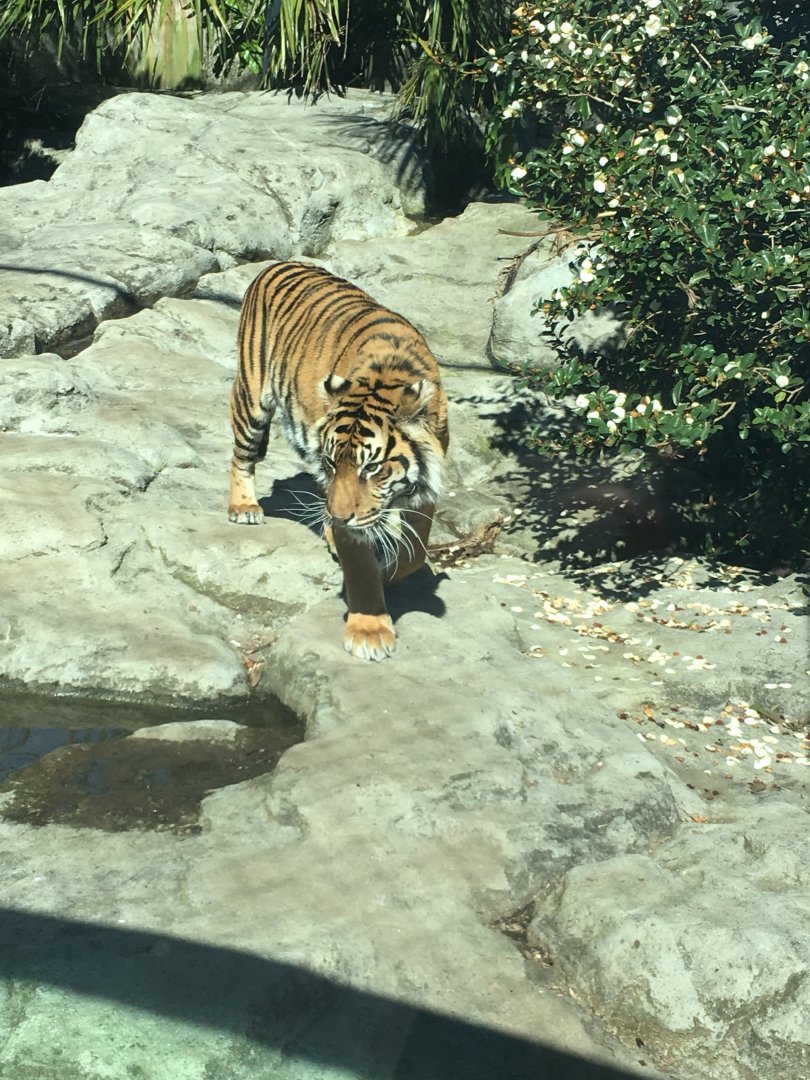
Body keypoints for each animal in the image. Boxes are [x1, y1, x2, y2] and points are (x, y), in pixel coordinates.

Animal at [228, 260, 449, 661]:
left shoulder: (424, 489)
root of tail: (278, 263)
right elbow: (360, 567)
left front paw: (387, 573)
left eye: (372, 467)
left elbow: (415, 551)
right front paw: (369, 630)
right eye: (333, 463)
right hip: (252, 395)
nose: (339, 516)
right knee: (242, 456)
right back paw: (244, 507)